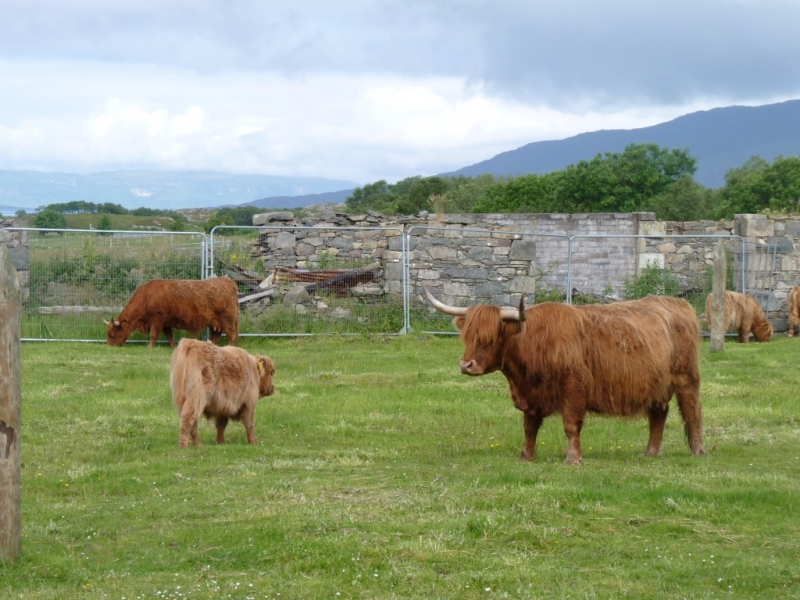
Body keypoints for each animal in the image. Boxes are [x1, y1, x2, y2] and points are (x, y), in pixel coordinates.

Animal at [104, 278, 239, 350]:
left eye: (112, 334)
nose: (109, 346)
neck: (146, 297)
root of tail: (228, 281)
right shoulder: (165, 323)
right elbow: (169, 335)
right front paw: (173, 346)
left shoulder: (158, 318)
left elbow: (153, 334)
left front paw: (149, 347)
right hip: (215, 323)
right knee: (216, 334)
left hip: (227, 318)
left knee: (231, 334)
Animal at [422, 286, 704, 464]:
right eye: (467, 336)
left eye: (490, 338)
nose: (466, 365)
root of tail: (677, 303)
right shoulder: (531, 395)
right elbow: (529, 427)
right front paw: (526, 456)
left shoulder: (574, 387)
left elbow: (570, 426)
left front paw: (573, 458)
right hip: (657, 385)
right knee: (658, 414)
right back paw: (651, 452)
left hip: (686, 377)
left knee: (692, 412)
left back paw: (698, 451)